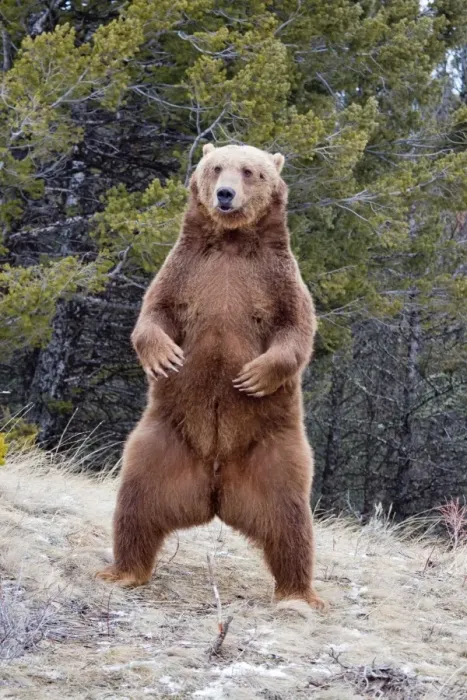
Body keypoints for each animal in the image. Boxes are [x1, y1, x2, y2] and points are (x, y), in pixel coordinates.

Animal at [97, 143, 324, 610]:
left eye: (251, 171)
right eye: (217, 167)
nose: (225, 194)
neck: (232, 243)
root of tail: (216, 494)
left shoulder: (278, 279)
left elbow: (296, 328)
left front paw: (254, 375)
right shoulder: (185, 271)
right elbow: (154, 312)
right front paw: (165, 357)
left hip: (274, 451)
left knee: (290, 522)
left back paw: (297, 595)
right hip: (162, 442)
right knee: (135, 504)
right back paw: (122, 572)